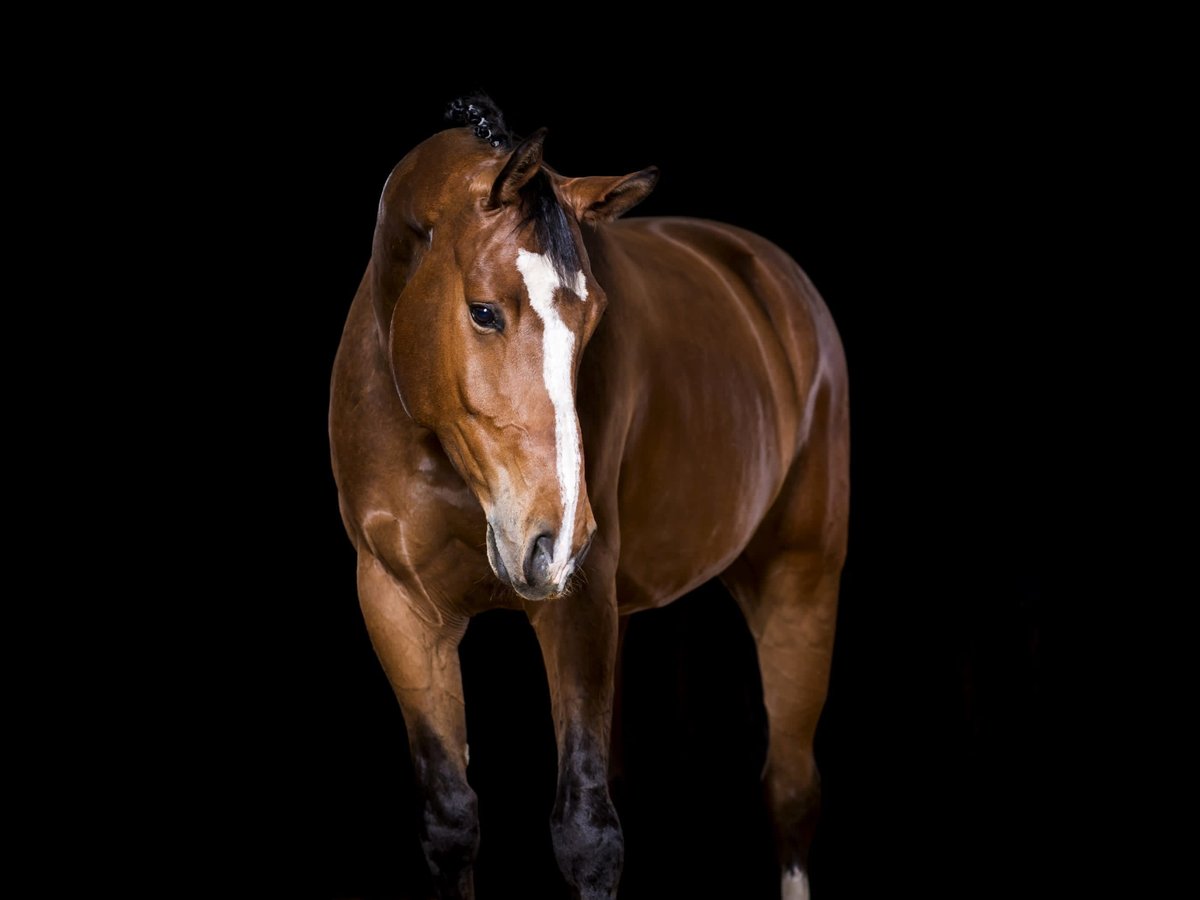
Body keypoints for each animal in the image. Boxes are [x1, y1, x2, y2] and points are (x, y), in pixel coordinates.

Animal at [333, 98, 849, 900]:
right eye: (484, 311)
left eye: (595, 317)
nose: (557, 540)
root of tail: (769, 272)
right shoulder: (397, 607)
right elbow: (451, 819)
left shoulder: (575, 608)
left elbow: (586, 833)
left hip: (800, 581)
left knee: (790, 792)